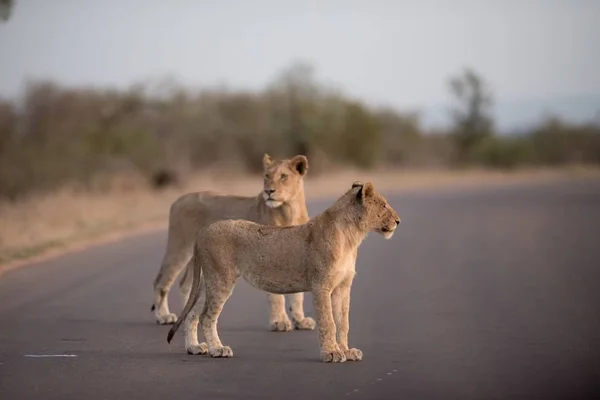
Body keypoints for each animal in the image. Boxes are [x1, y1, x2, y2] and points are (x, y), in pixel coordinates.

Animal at [152, 152, 316, 332]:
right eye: (266, 175)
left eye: (283, 176)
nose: (268, 191)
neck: (290, 210)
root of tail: (179, 199)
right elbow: (276, 296)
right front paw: (279, 322)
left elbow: (298, 295)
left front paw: (300, 321)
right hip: (181, 247)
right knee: (161, 281)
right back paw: (163, 316)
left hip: (197, 256)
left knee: (185, 284)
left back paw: (187, 318)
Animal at [166, 181, 400, 362]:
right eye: (384, 205)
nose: (398, 221)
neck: (352, 237)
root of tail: (203, 231)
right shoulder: (321, 286)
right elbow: (328, 322)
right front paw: (331, 353)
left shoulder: (342, 287)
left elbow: (343, 322)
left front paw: (346, 351)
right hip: (221, 279)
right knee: (207, 317)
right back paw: (218, 349)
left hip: (209, 282)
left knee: (193, 314)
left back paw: (195, 348)